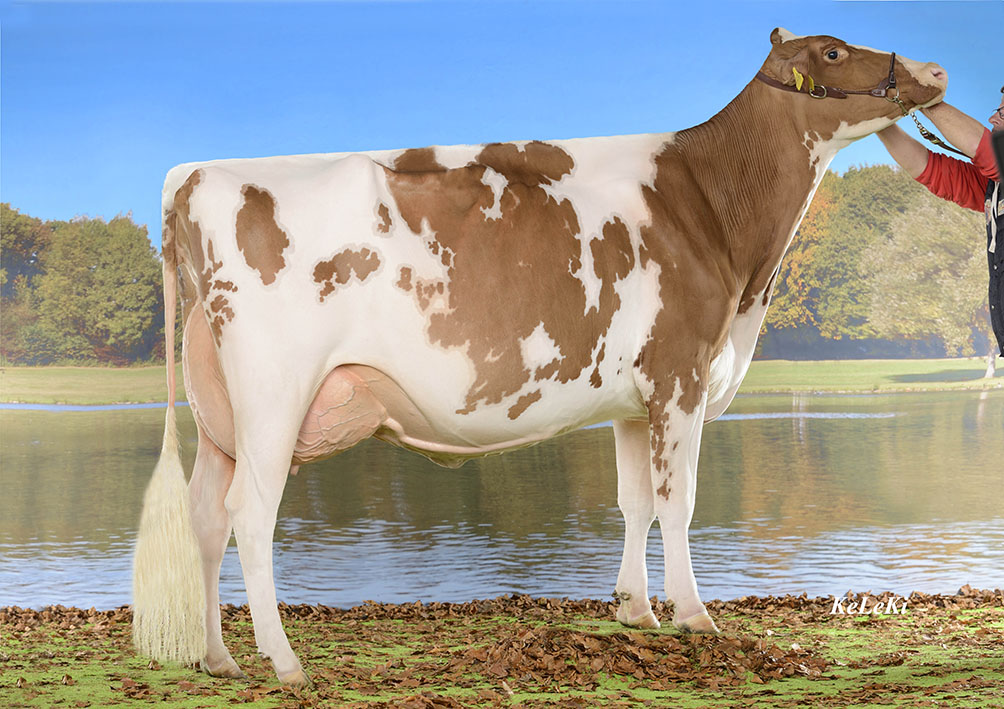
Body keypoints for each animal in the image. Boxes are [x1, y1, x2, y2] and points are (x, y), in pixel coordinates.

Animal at [132, 28, 946, 685]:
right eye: (832, 51)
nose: (934, 70)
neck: (715, 218)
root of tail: (194, 174)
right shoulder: (680, 375)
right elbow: (678, 502)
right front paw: (694, 615)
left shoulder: (634, 400)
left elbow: (634, 501)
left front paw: (634, 610)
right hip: (275, 394)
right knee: (249, 514)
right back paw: (285, 661)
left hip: (220, 416)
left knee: (205, 514)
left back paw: (218, 657)